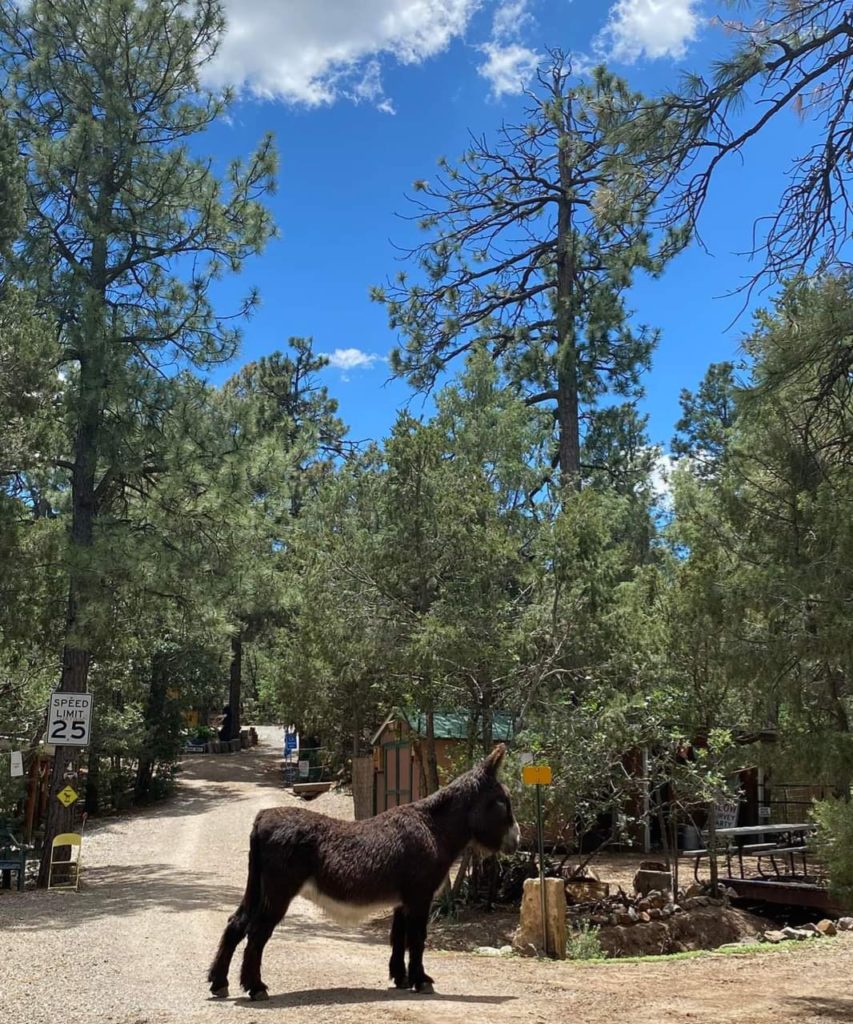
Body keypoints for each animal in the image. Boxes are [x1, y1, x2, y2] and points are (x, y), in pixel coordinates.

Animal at [208, 742, 520, 1000]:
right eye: (502, 802)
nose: (517, 839)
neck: (433, 828)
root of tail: (262, 818)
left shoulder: (402, 900)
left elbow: (398, 937)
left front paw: (401, 979)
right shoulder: (419, 897)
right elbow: (417, 938)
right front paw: (421, 981)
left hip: (259, 887)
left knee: (236, 923)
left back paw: (219, 983)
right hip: (279, 890)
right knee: (256, 932)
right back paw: (256, 987)